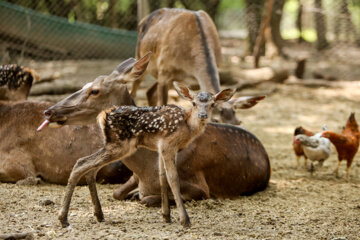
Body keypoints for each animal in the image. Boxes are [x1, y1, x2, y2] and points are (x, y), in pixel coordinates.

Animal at [40, 53, 270, 228]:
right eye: (85, 86)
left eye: (94, 91)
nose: (50, 111)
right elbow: (142, 187)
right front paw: (175, 216)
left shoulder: (199, 186)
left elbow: (160, 185)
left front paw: (169, 215)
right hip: (118, 147)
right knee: (85, 165)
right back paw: (72, 216)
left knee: (87, 167)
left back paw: (86, 215)